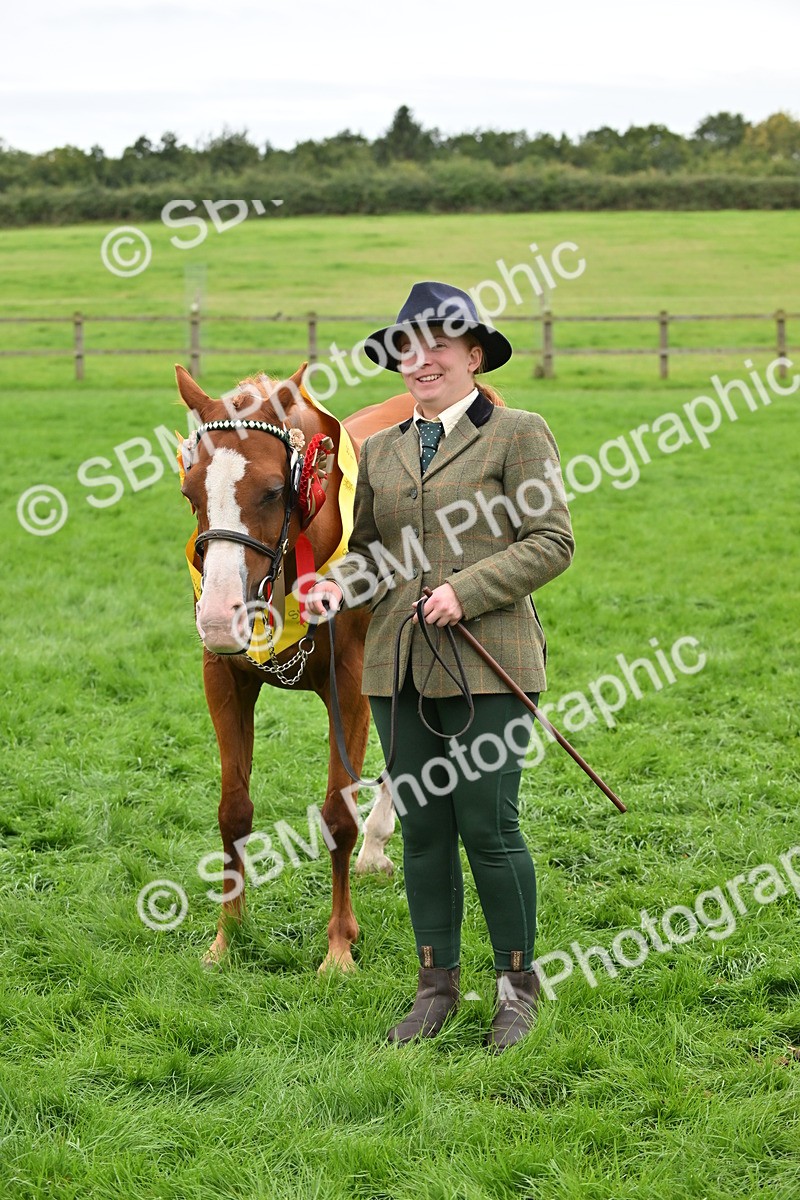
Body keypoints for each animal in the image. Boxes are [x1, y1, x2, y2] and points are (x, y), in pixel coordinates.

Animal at [174, 361, 414, 972]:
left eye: (274, 490)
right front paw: (226, 937)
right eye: (190, 491)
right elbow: (233, 811)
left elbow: (337, 817)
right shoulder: (224, 678)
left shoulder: (349, 688)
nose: (219, 616)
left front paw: (339, 947)